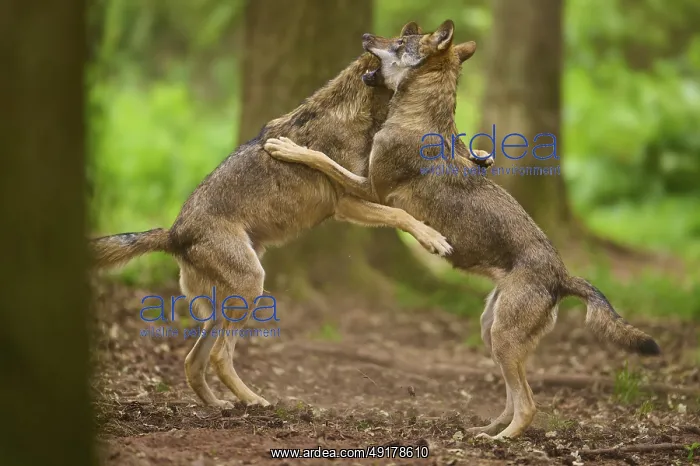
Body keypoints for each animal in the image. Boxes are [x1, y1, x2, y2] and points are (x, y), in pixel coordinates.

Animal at [90, 22, 498, 408]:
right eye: (396, 43)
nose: (367, 36)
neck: (364, 114)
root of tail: (173, 232)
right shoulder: (350, 202)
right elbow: (401, 215)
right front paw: (434, 238)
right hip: (251, 286)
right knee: (220, 357)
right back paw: (254, 401)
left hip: (226, 303)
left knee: (193, 361)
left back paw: (219, 405)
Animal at [264, 20, 661, 439]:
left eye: (400, 42)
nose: (366, 37)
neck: (417, 119)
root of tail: (562, 274)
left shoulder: (371, 188)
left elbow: (320, 158)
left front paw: (285, 146)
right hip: (491, 332)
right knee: (511, 398)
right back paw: (482, 431)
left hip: (502, 339)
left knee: (529, 405)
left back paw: (500, 440)